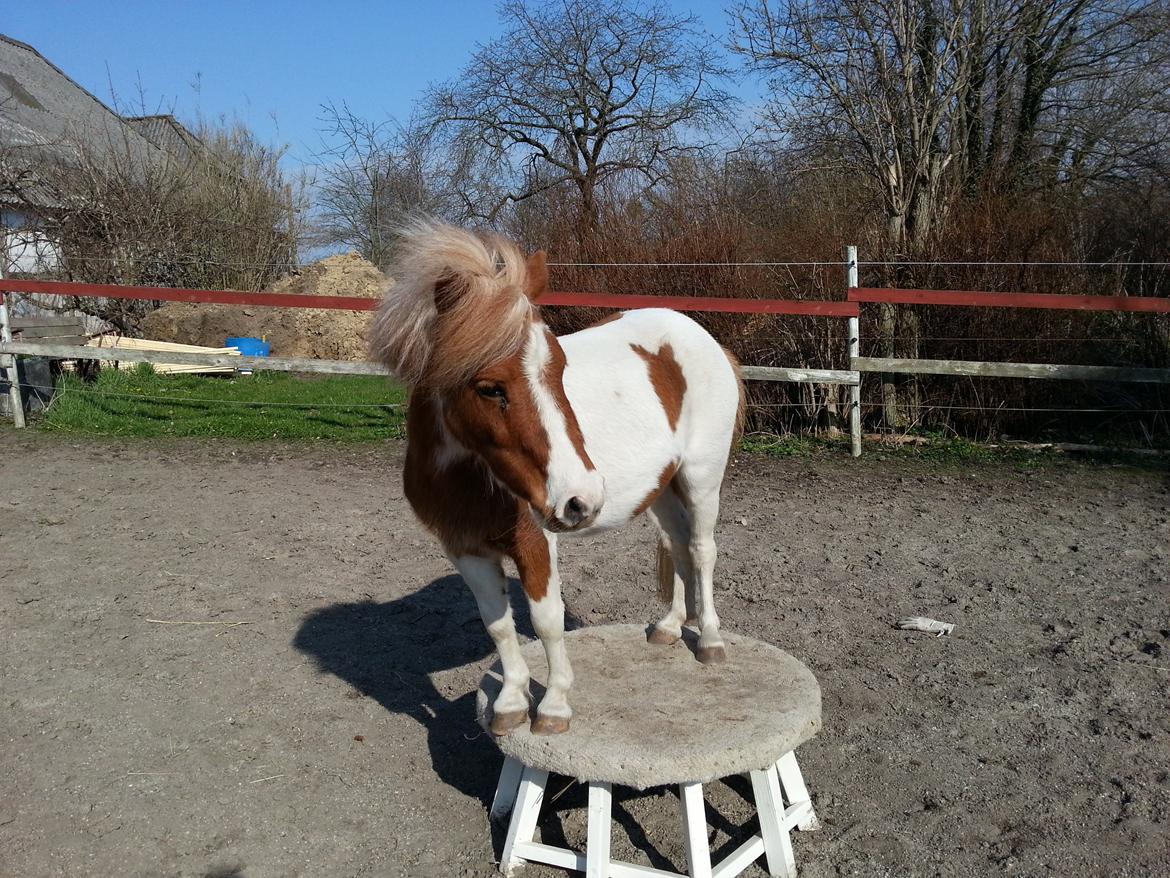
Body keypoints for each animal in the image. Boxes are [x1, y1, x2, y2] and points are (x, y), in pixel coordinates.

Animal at [370, 220, 744, 736]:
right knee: (678, 547)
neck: (470, 476)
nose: (581, 500)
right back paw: (670, 627)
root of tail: (704, 338)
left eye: (560, 369)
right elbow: (498, 623)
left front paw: (554, 705)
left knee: (704, 551)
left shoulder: (534, 541)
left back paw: (709, 639)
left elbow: (547, 619)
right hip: (662, 490)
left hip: (701, 479)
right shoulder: (465, 548)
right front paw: (510, 701)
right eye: (490, 388)